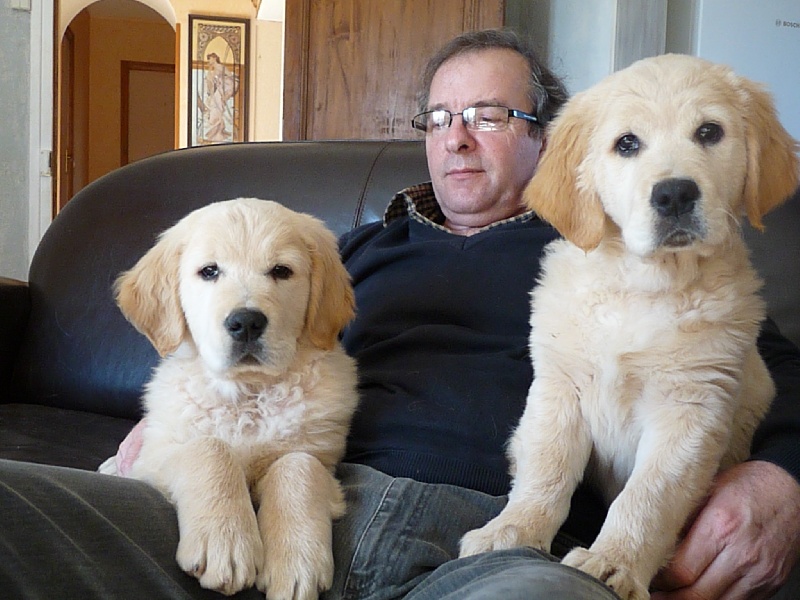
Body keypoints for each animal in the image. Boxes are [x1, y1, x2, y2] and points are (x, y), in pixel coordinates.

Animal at [98, 199, 358, 596]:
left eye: (281, 271)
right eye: (209, 271)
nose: (246, 322)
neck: (248, 393)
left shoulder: (322, 457)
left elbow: (297, 466)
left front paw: (297, 561)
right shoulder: (154, 457)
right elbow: (210, 447)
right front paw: (226, 543)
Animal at [460, 54, 800, 596]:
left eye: (709, 132)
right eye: (626, 144)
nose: (675, 194)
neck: (643, 286)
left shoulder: (691, 408)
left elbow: (648, 496)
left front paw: (614, 561)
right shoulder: (561, 387)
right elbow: (546, 468)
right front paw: (513, 529)